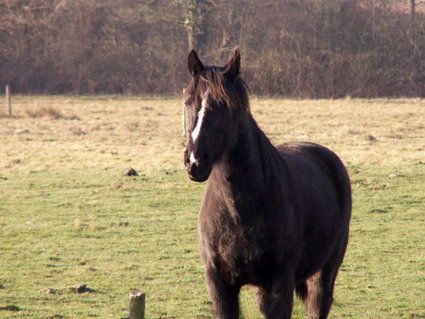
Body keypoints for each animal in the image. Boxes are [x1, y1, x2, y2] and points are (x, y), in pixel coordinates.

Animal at [182, 48, 352, 319]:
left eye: (224, 105)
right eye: (188, 101)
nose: (195, 161)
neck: (238, 210)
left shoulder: (279, 284)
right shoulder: (220, 285)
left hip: (324, 274)